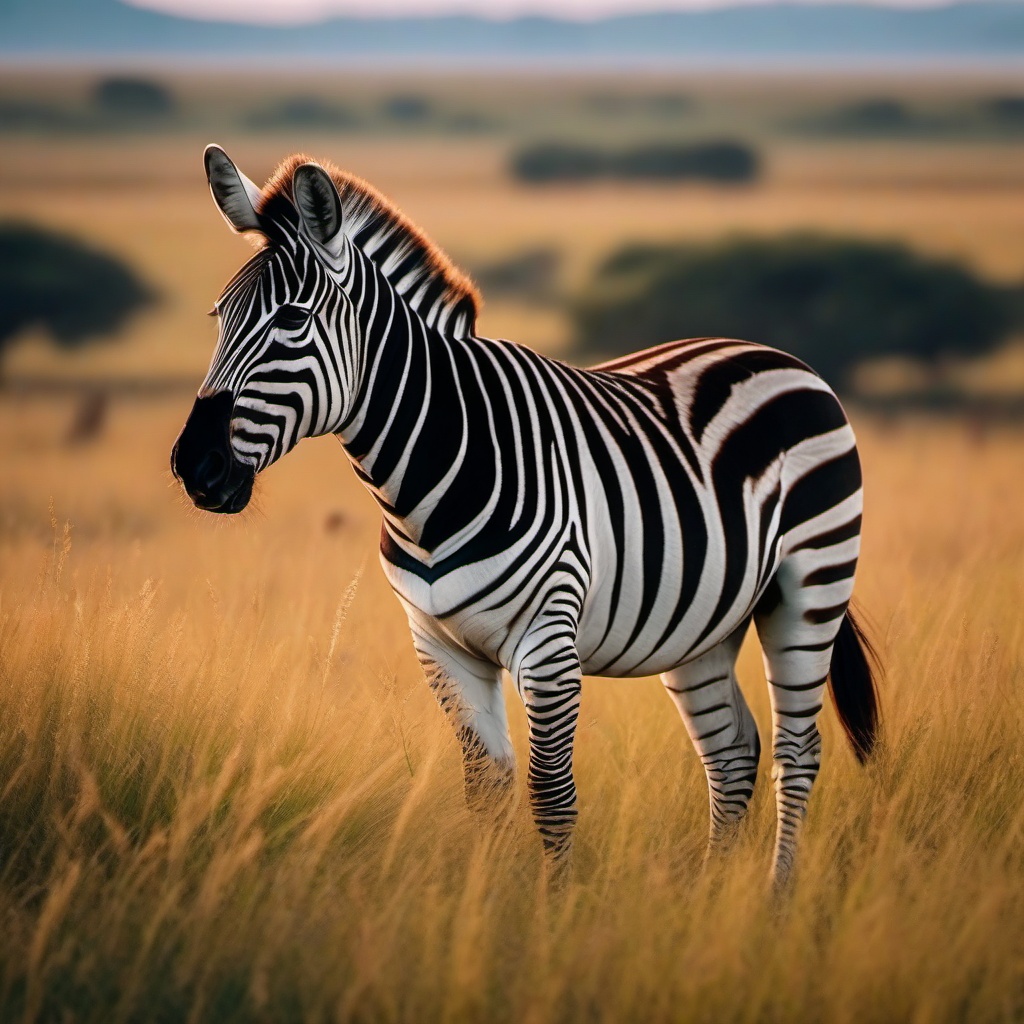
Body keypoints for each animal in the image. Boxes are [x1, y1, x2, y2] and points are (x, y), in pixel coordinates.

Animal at [172, 146, 876, 888]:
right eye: (219, 317)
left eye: (292, 319)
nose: (194, 464)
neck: (432, 478)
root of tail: (776, 355)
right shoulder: (440, 645)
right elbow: (485, 788)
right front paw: (481, 908)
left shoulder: (548, 643)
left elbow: (551, 794)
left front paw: (553, 909)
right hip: (706, 623)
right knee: (733, 753)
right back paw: (712, 897)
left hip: (810, 584)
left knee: (797, 753)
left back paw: (774, 899)